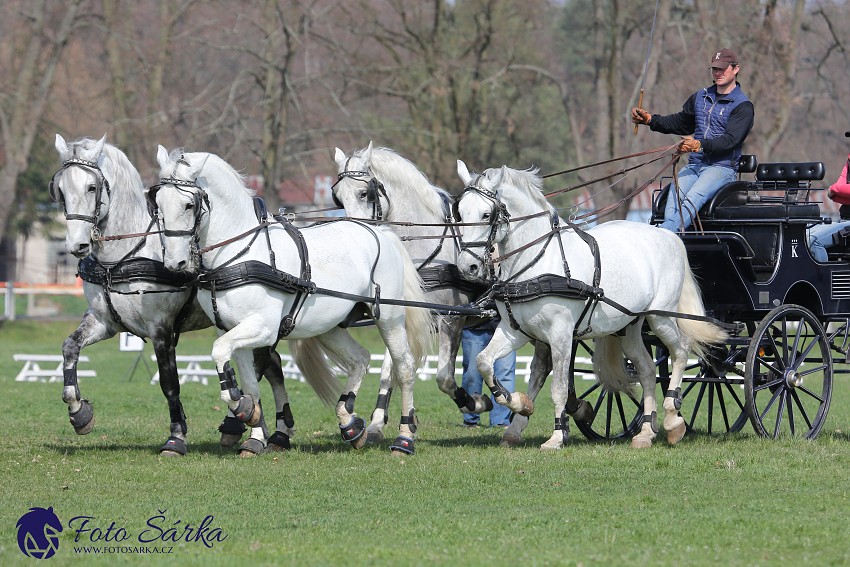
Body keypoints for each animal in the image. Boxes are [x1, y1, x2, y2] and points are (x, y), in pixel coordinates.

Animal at [48, 136, 304, 458]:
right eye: (60, 189)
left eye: (92, 187)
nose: (76, 245)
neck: (123, 256)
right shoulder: (104, 322)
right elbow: (69, 347)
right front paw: (79, 411)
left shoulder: (161, 328)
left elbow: (170, 384)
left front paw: (176, 437)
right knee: (269, 367)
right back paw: (255, 428)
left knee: (269, 366)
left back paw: (267, 429)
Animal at [148, 148, 434, 458]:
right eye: (158, 205)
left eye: (189, 205)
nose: (175, 263)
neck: (240, 253)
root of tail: (382, 232)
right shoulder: (232, 330)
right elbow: (248, 382)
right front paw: (251, 424)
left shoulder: (263, 328)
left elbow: (219, 353)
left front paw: (244, 411)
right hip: (330, 327)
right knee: (359, 359)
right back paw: (349, 424)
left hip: (389, 318)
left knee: (404, 367)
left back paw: (404, 438)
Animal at [330, 143, 536, 444]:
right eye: (338, 197)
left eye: (364, 193)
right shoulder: (401, 316)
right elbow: (390, 369)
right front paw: (378, 424)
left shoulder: (451, 318)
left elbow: (443, 378)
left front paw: (475, 402)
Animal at [454, 160, 724, 448]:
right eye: (459, 214)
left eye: (486, 214)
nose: (467, 267)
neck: (537, 260)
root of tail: (668, 236)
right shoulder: (515, 331)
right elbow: (484, 362)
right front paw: (517, 404)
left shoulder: (560, 333)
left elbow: (558, 386)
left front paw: (556, 436)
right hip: (630, 326)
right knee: (647, 370)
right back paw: (646, 432)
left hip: (661, 318)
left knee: (681, 351)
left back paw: (673, 419)